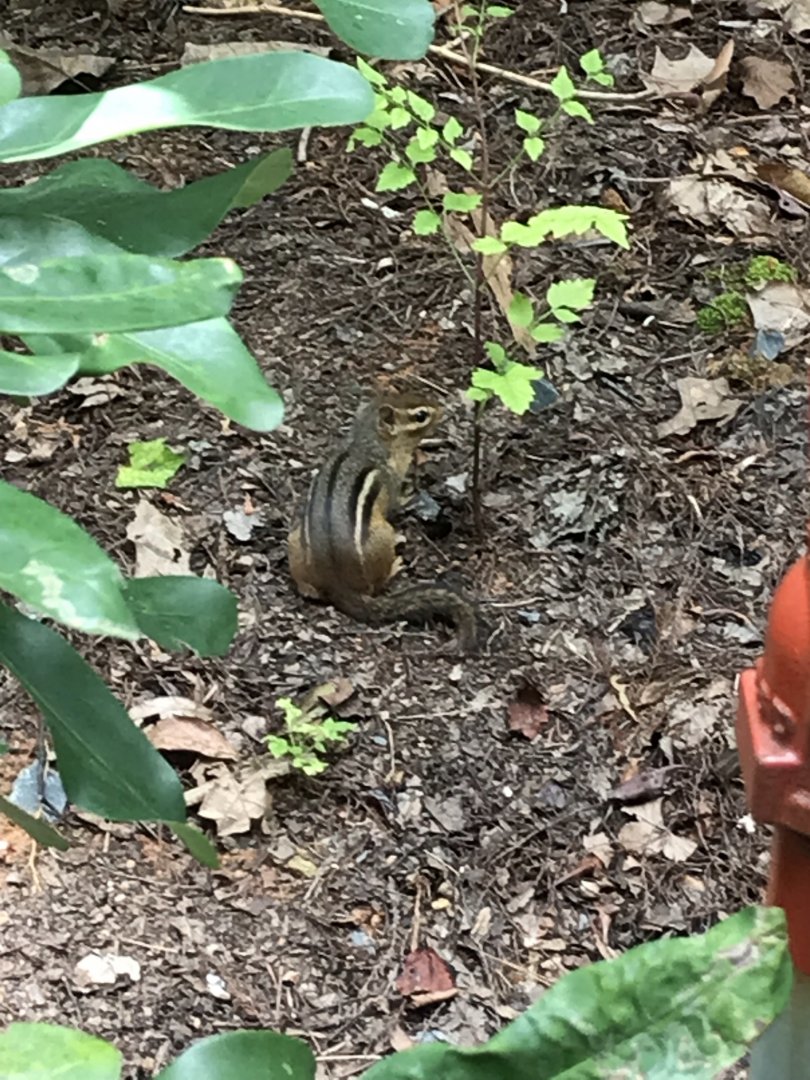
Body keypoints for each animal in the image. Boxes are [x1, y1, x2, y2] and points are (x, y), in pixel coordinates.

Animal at [288, 392, 479, 651]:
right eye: (421, 415)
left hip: (294, 541)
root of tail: (337, 582)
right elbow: (397, 504)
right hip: (383, 537)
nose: (442, 409)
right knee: (376, 584)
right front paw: (412, 493)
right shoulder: (391, 480)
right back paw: (395, 566)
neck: (367, 442)